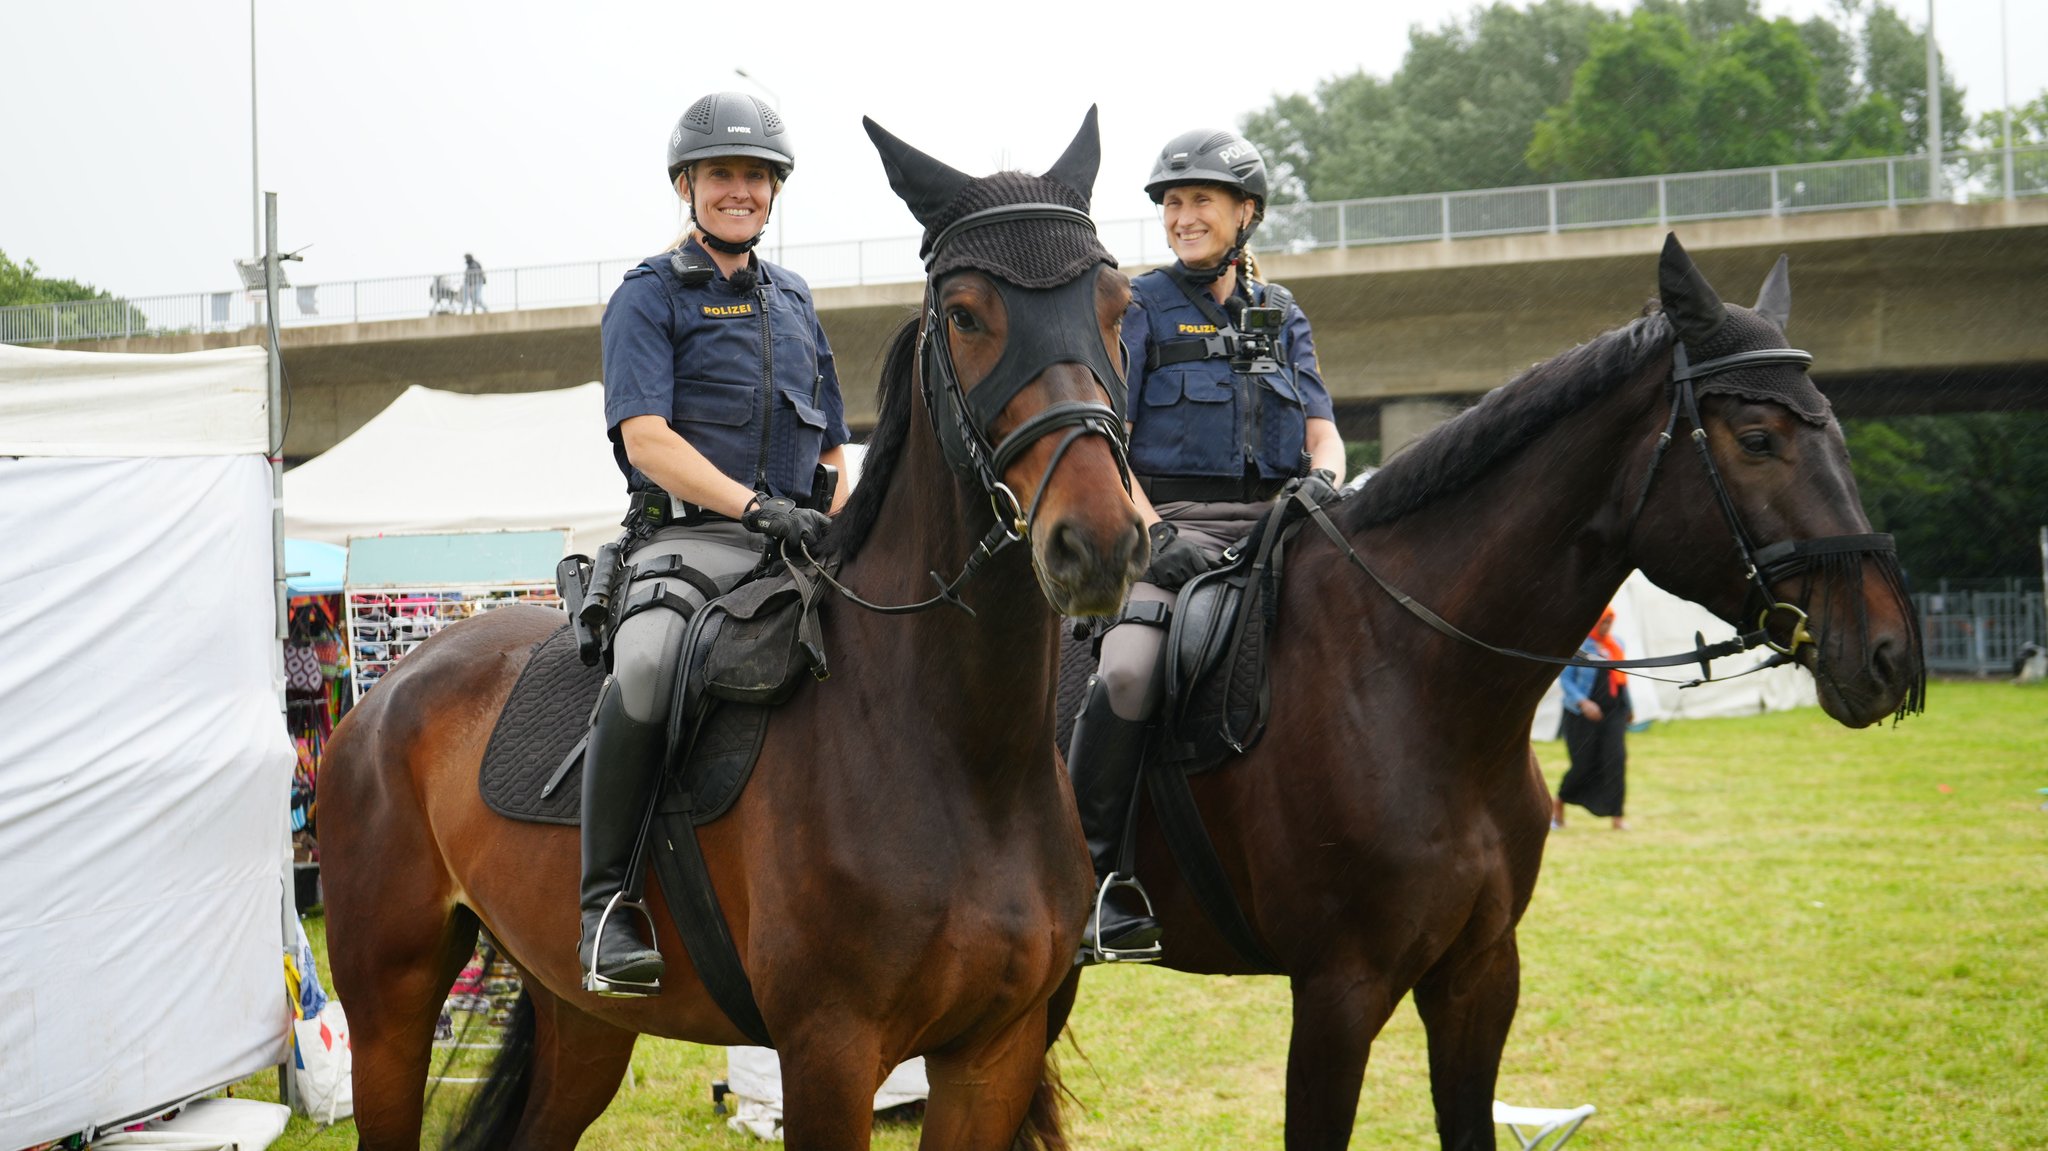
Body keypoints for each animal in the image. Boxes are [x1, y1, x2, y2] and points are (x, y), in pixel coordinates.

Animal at [325, 109, 1146, 1146]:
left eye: (1116, 303)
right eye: (966, 314)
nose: (1101, 541)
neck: (962, 753)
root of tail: (387, 692)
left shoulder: (992, 1056)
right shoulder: (830, 1053)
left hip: (581, 1018)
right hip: (390, 1009)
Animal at [1056, 235, 1916, 1146]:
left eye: (1835, 428)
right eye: (1757, 438)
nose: (1889, 652)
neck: (1415, 685)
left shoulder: (1479, 972)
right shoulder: (1338, 989)